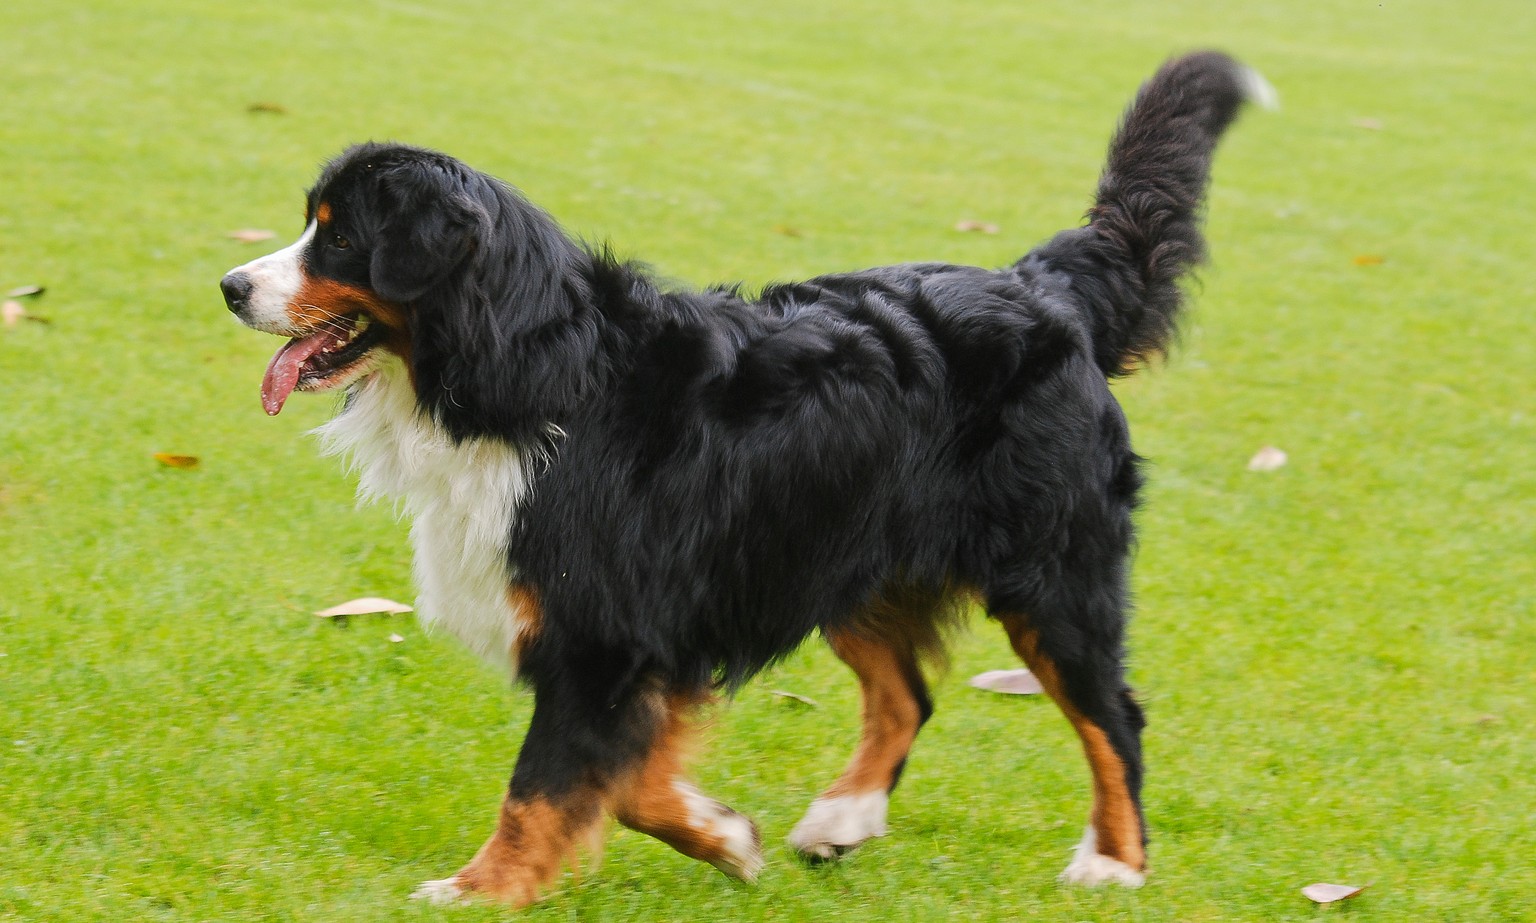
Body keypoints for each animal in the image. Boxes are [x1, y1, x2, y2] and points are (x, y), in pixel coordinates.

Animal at [219, 52, 1271, 909]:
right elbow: (628, 780)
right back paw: (842, 819)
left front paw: (483, 887)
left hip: (1048, 570)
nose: (230, 285)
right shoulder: (642, 632)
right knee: (906, 695)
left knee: (1111, 713)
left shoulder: (601, 631)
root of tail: (1042, 286)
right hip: (839, 549)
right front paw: (725, 835)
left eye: (338, 239)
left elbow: (545, 783)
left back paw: (1115, 862)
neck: (531, 372)